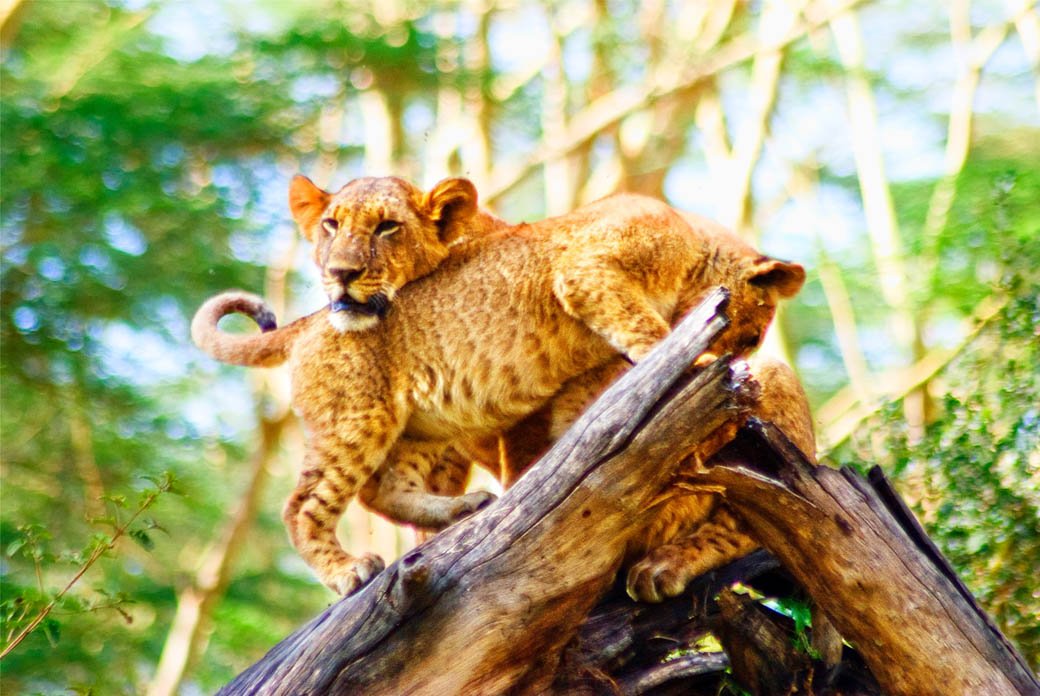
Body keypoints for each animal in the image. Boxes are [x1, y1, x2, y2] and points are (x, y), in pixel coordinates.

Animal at [192, 174, 805, 595]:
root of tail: (314, 318)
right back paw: (350, 571)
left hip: (419, 427)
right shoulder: (589, 271)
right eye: (752, 333)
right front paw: (694, 365)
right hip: (359, 419)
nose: (744, 356)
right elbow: (648, 330)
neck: (691, 240)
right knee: (304, 506)